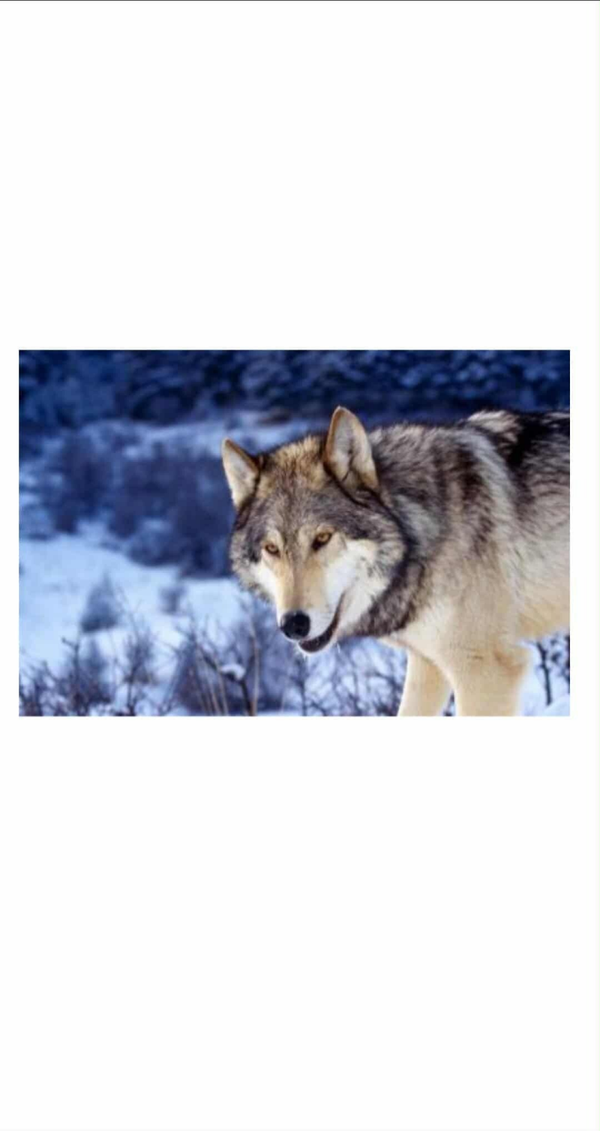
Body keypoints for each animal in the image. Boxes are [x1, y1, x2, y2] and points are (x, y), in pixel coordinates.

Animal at [222, 406, 569, 716]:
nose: (293, 624)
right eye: (272, 548)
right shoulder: (428, 664)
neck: (419, 532)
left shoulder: (485, 670)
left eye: (322, 538)